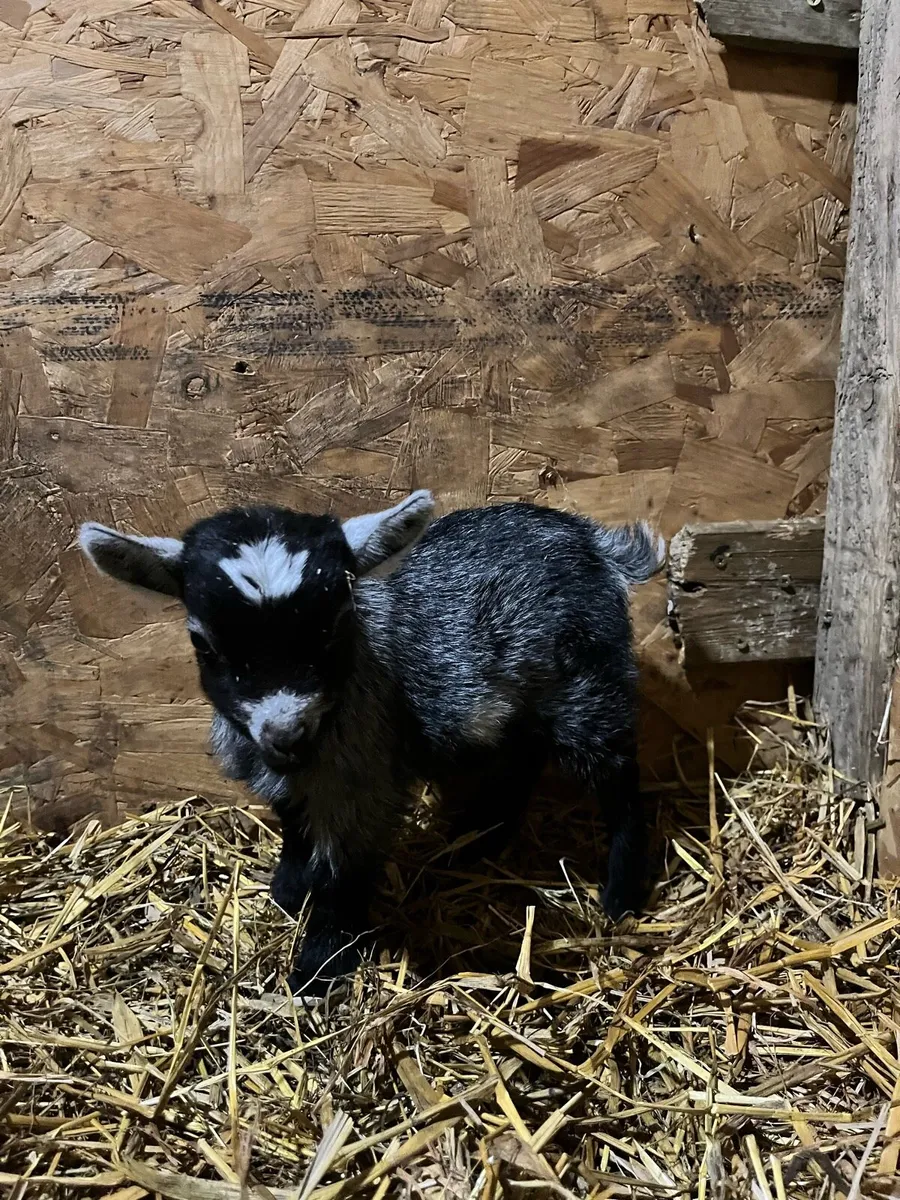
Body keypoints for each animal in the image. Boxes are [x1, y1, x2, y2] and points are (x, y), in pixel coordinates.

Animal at [80, 493, 664, 994]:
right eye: (204, 643)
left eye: (338, 622)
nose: (285, 733)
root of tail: (593, 540)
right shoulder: (290, 777)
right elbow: (295, 824)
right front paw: (289, 891)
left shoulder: (366, 776)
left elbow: (345, 868)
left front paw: (319, 965)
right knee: (519, 763)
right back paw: (475, 844)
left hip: (589, 686)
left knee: (618, 779)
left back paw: (620, 894)